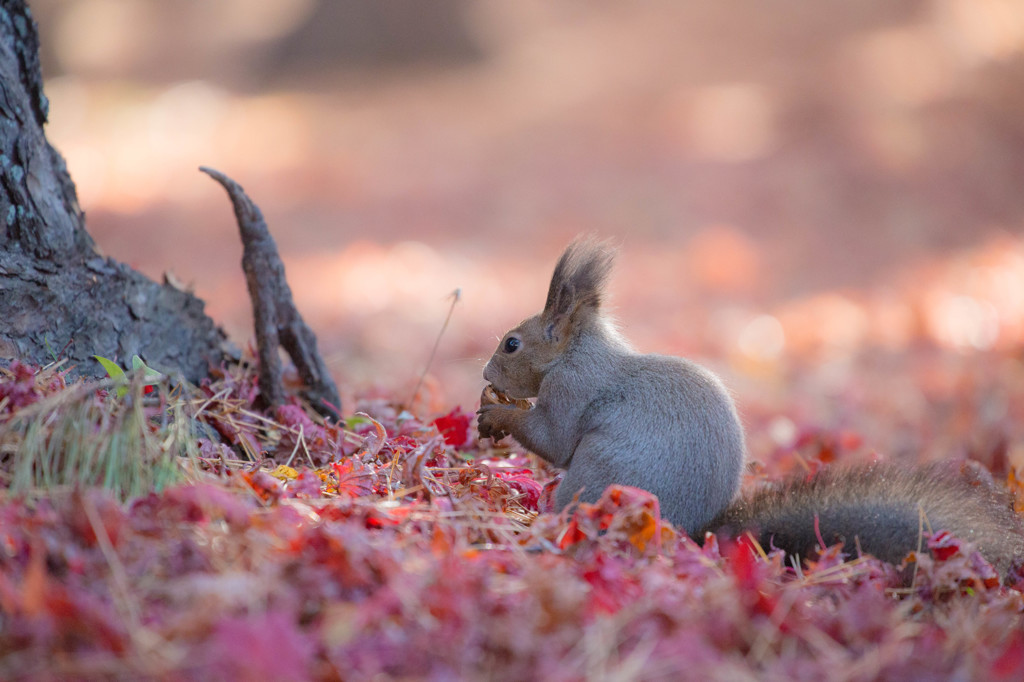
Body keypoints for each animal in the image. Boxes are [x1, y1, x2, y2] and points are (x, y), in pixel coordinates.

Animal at [477, 236, 1024, 577]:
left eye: (511, 344)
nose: (484, 375)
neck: (575, 352)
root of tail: (699, 532)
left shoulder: (572, 388)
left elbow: (554, 439)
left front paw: (497, 413)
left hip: (595, 479)